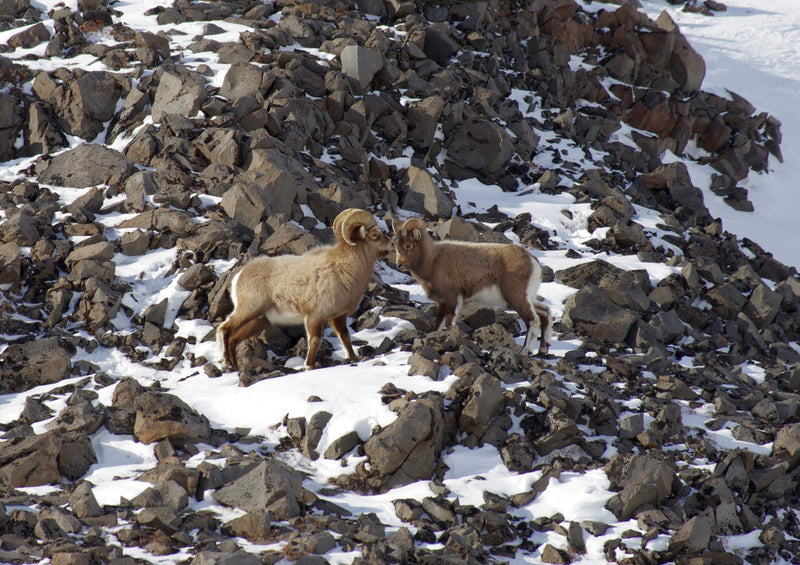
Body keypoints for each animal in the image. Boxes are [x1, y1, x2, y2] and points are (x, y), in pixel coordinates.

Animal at [217, 207, 392, 370]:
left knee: (234, 338)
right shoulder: (314, 317)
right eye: (374, 234)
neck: (345, 271)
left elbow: (345, 337)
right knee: (225, 329)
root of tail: (238, 277)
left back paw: (234, 365)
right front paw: (309, 366)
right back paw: (227, 363)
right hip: (249, 309)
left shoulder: (338, 317)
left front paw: (354, 359)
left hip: (260, 320)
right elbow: (315, 341)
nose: (390, 244)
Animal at [392, 217, 552, 354]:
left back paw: (525, 351)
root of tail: (533, 261)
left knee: (533, 320)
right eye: (396, 246)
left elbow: (449, 325)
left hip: (517, 299)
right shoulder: (442, 304)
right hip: (527, 299)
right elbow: (438, 326)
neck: (433, 262)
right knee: (545, 312)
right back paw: (543, 349)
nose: (399, 265)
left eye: (408, 245)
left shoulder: (453, 301)